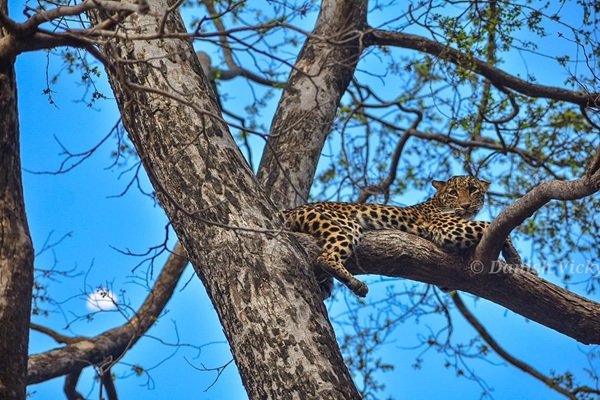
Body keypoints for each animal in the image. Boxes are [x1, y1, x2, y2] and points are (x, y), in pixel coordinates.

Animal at [282, 175, 520, 296]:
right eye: (453, 193)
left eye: (473, 190)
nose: (465, 205)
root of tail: (291, 209)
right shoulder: (450, 229)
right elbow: (490, 224)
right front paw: (515, 257)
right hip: (346, 225)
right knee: (327, 257)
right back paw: (356, 284)